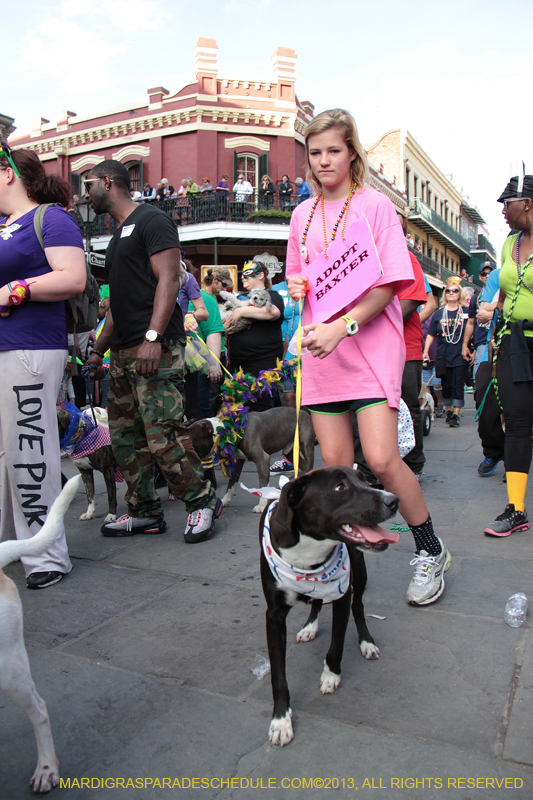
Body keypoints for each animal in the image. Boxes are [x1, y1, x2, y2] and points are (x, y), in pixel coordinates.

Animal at [258, 466, 400, 748]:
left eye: (365, 480)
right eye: (339, 487)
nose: (394, 500)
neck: (309, 550)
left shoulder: (342, 592)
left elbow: (337, 644)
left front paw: (331, 675)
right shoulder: (274, 616)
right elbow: (278, 673)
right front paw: (280, 720)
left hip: (359, 569)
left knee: (359, 606)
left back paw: (366, 642)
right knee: (317, 602)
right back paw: (310, 627)